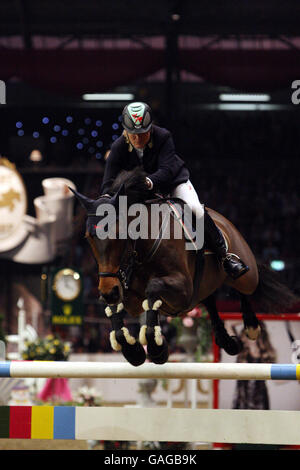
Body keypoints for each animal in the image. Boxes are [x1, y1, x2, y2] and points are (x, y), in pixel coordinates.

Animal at [70, 168, 298, 368]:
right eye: (89, 237)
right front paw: (134, 352)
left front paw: (156, 349)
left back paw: (250, 325)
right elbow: (118, 316)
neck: (142, 249)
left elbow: (153, 289)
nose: (108, 292)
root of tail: (225, 221)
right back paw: (227, 341)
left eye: (118, 234)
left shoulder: (182, 289)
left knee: (244, 287)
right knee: (210, 300)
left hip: (245, 275)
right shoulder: (128, 294)